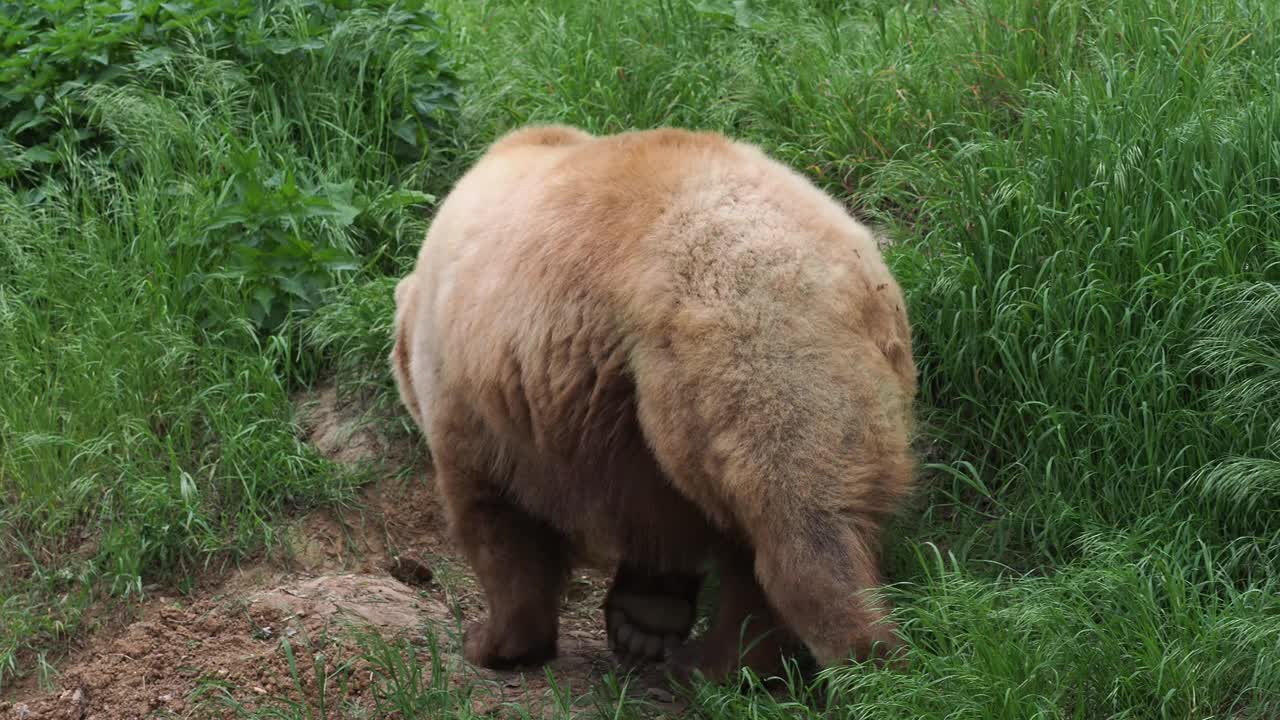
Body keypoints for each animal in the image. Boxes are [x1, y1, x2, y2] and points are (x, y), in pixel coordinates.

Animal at [389, 122, 921, 676]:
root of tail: (845, 280)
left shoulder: (476, 402)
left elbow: (498, 521)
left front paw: (494, 641)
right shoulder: (616, 425)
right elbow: (659, 520)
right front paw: (642, 622)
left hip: (739, 355)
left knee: (793, 523)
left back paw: (831, 661)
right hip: (853, 390)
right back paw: (737, 663)